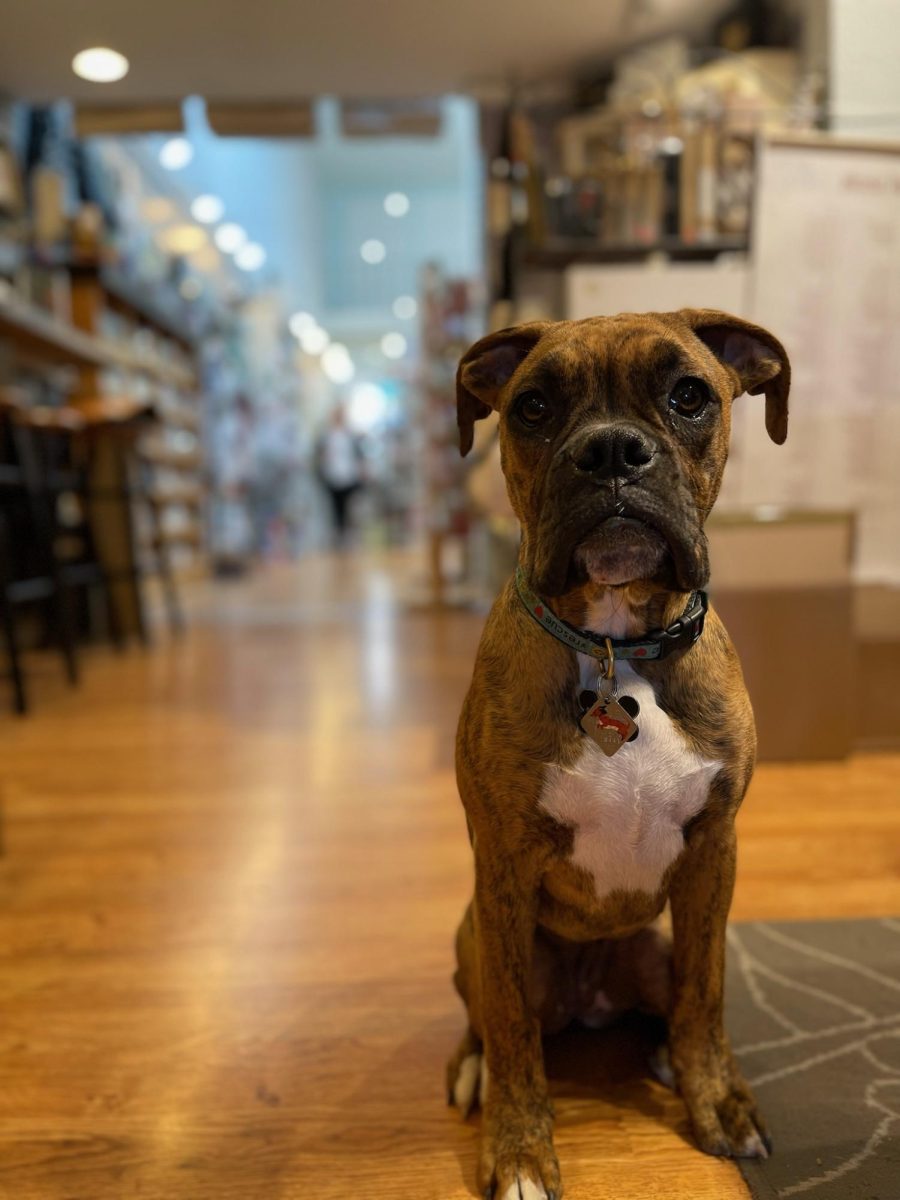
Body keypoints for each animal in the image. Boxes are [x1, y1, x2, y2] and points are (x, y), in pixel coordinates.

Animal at [448, 309, 787, 1200]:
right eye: (532, 406)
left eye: (690, 395)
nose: (609, 451)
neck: (613, 647)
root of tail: (590, 995)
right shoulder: (502, 868)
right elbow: (511, 1023)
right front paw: (520, 1151)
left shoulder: (713, 854)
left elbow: (706, 997)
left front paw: (717, 1098)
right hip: (472, 933)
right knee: (490, 1016)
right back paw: (474, 1069)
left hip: (658, 939)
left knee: (672, 1000)